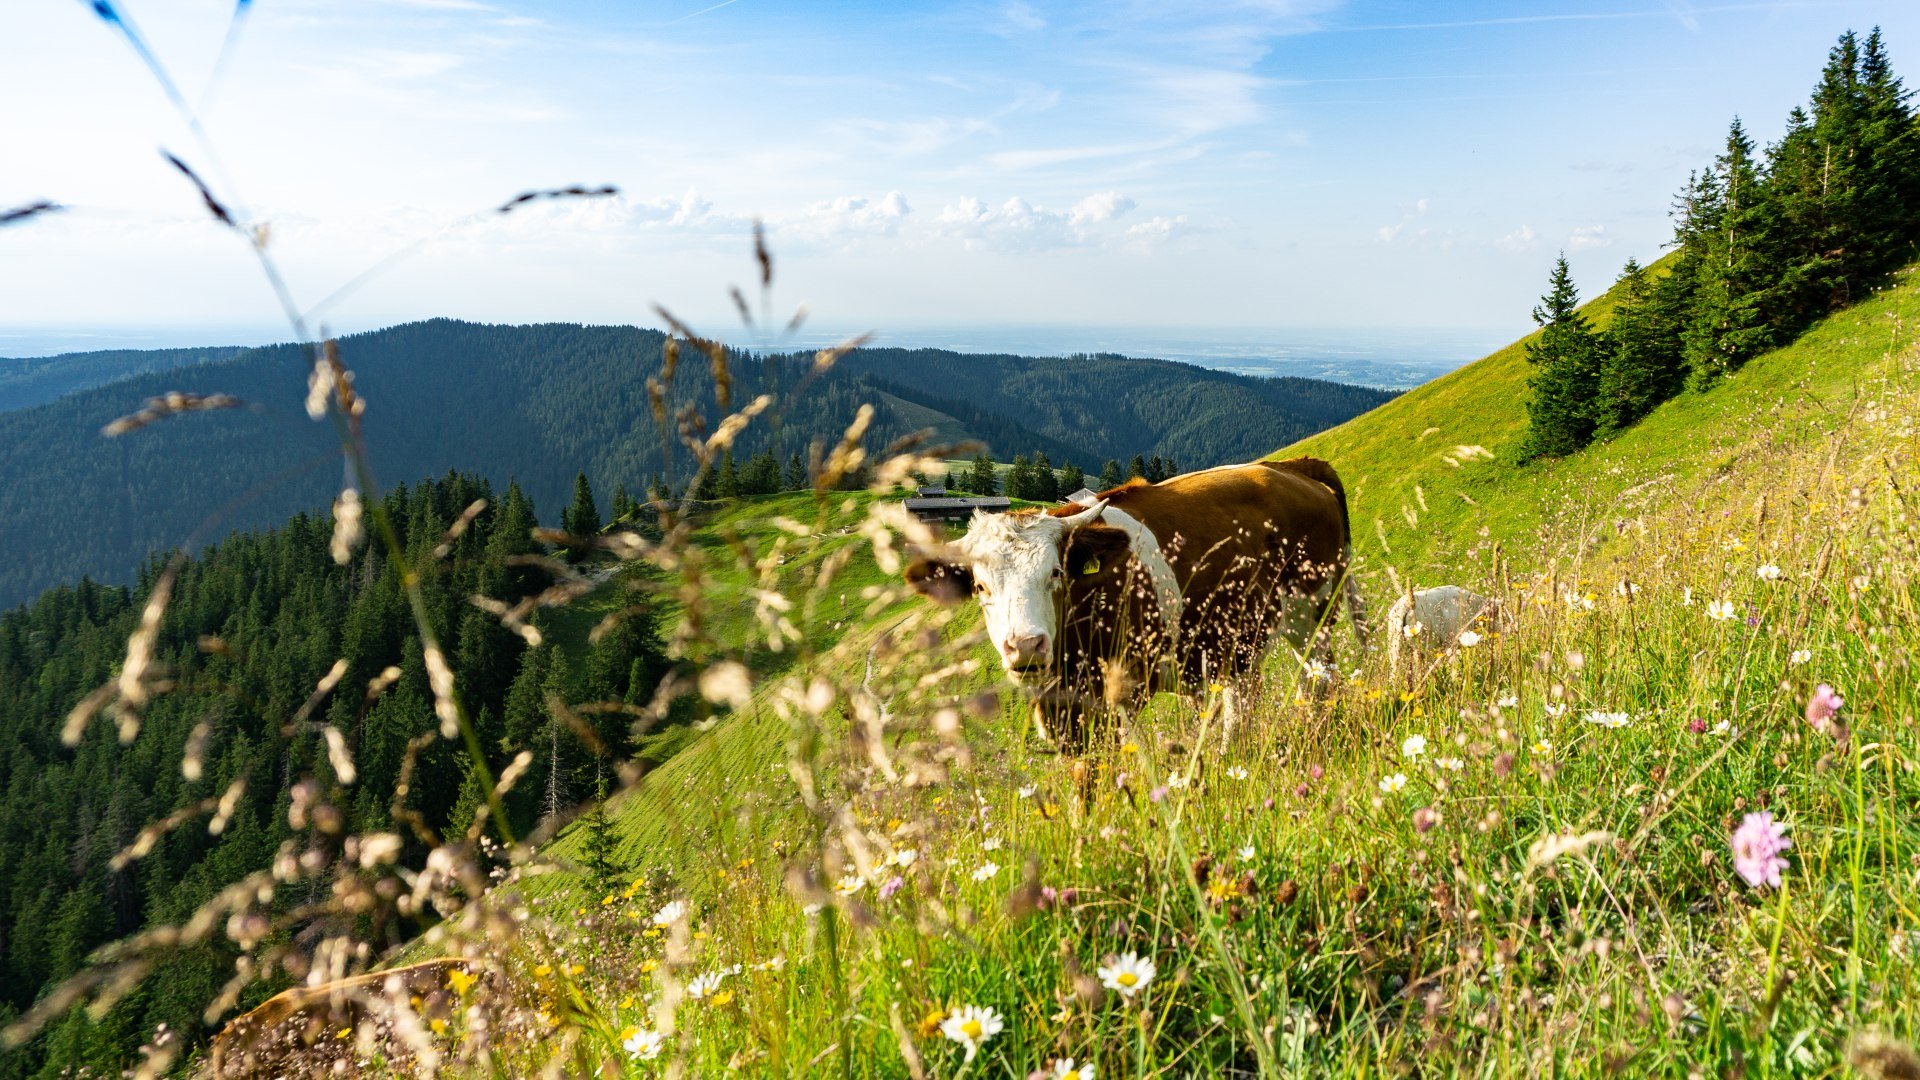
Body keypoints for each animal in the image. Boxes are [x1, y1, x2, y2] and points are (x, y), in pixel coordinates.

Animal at [902, 451, 1367, 737]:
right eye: (981, 586)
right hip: (1243, 641)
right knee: (1251, 696)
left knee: (1321, 678)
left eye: (1055, 573)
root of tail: (1292, 467)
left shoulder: (1127, 689)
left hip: (1314, 610)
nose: (1027, 646)